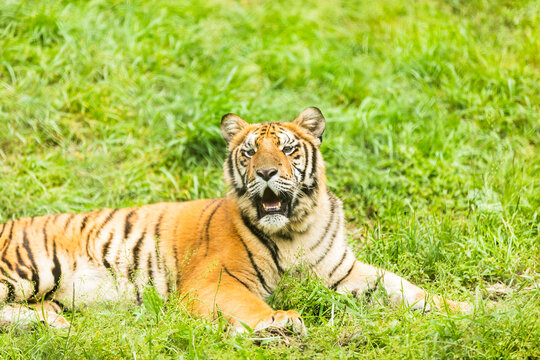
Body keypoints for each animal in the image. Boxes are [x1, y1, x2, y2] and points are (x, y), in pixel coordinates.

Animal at [0, 107, 468, 334]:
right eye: (249, 152)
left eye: (288, 149)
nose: (266, 172)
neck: (296, 230)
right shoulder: (215, 281)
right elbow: (251, 304)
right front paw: (279, 321)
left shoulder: (345, 272)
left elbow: (406, 287)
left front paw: (464, 308)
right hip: (26, 268)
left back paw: (53, 322)